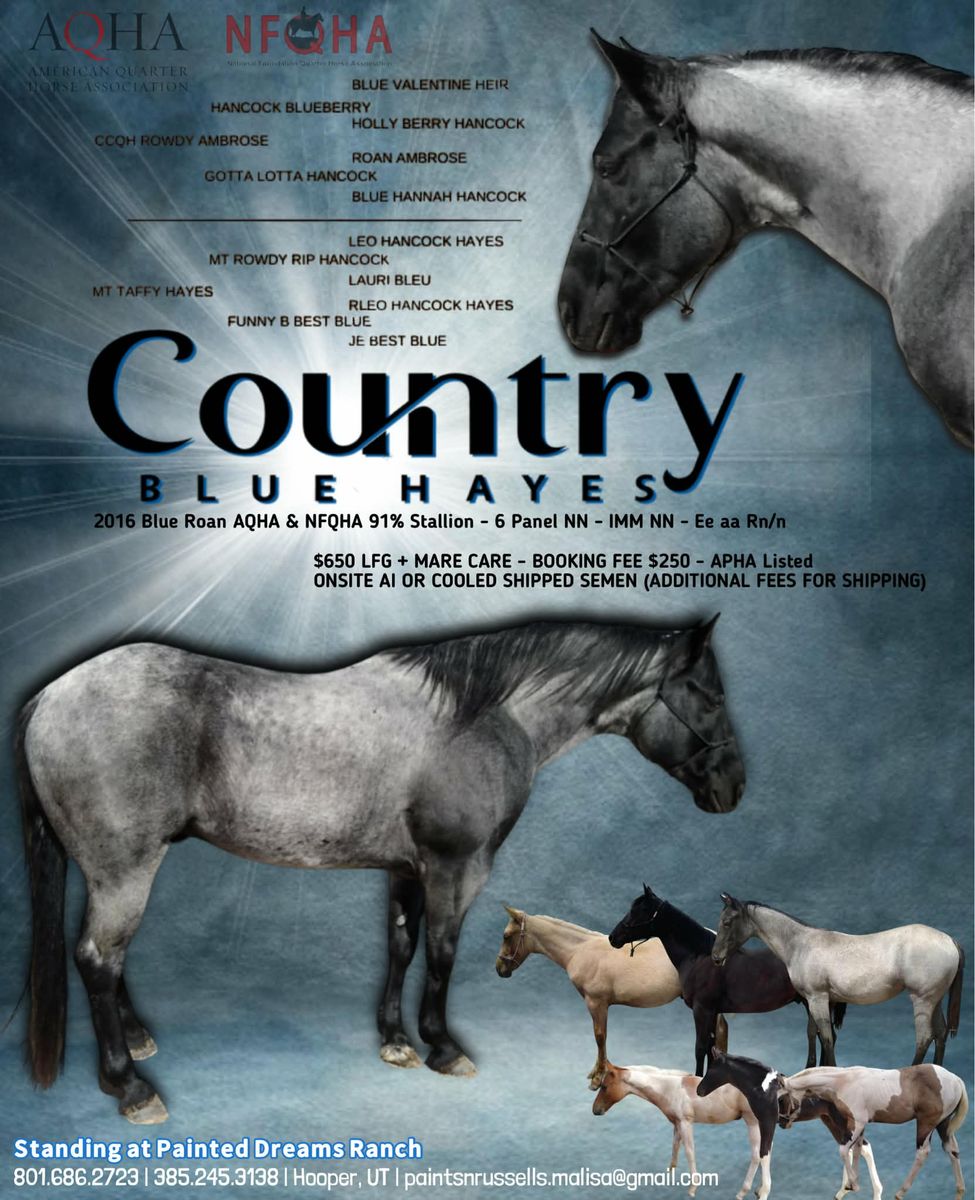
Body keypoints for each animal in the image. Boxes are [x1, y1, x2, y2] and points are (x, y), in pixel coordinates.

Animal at [494, 905, 729, 1088]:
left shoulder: (596, 1002)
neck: (580, 950)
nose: (499, 969)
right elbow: (601, 1037)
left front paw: (598, 1077)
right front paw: (596, 1071)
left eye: (506, 936)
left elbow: (600, 1036)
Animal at [593, 1061, 768, 1200]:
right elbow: (675, 1146)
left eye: (605, 1086)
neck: (669, 1088)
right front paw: (669, 1173)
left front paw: (692, 1189)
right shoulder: (677, 1123)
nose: (596, 1110)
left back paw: (743, 1192)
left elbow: (689, 1152)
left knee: (757, 1156)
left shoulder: (685, 1123)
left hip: (752, 1123)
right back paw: (759, 1190)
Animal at [608, 886, 843, 1074]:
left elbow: (700, 1048)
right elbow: (710, 1047)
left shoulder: (701, 1009)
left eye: (639, 910)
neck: (699, 957)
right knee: (822, 1037)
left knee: (826, 1038)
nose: (613, 937)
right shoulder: (712, 1011)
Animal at [712, 895, 964, 1068]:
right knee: (940, 1033)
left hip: (922, 1000)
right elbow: (813, 1033)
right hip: (934, 999)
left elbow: (826, 1037)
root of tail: (949, 940)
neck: (801, 944)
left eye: (727, 922)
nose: (715, 957)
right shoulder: (813, 999)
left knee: (924, 1037)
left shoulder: (818, 998)